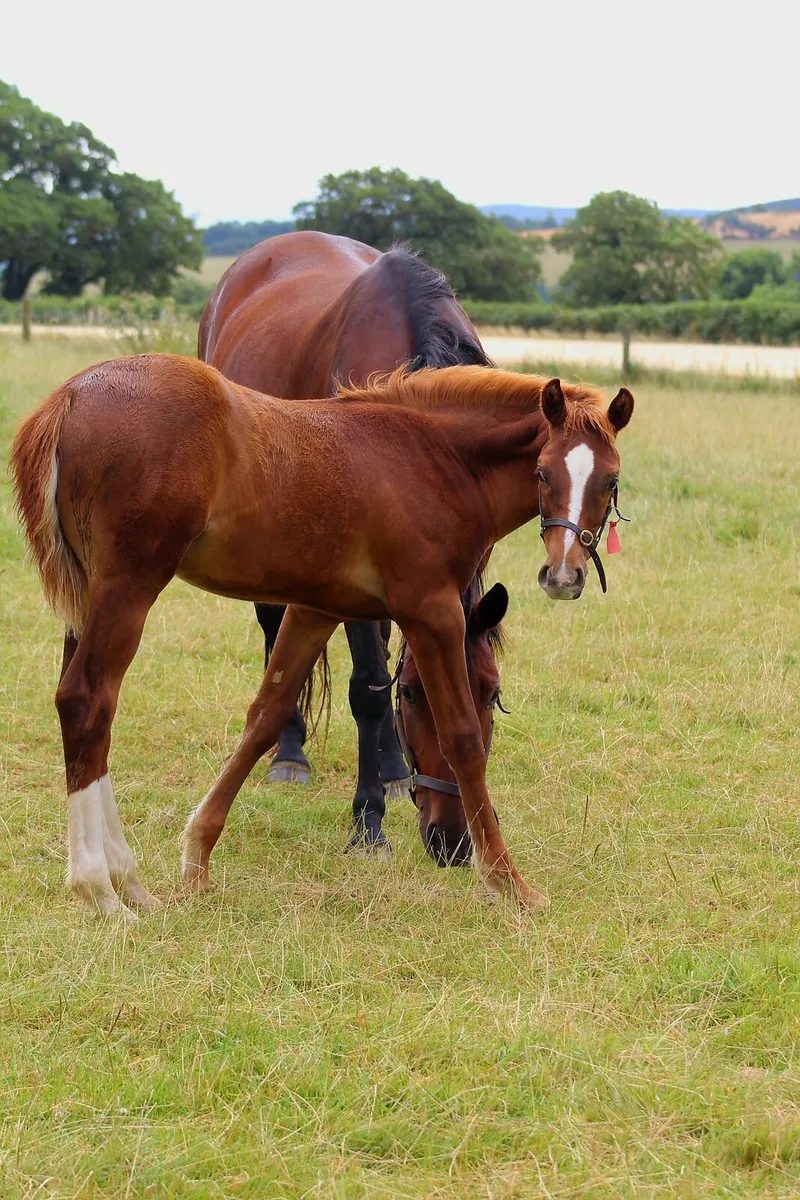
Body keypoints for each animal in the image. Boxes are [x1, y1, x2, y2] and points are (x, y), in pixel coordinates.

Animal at [10, 355, 634, 920]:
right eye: (543, 473)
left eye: (611, 481)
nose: (564, 575)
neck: (437, 461)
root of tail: (70, 395)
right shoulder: (431, 612)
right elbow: (462, 741)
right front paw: (509, 882)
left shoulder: (314, 609)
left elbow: (265, 716)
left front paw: (197, 860)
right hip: (129, 586)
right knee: (88, 701)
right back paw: (103, 889)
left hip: (87, 596)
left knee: (82, 708)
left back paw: (129, 883)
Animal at [199, 231, 493, 859]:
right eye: (415, 699)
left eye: (492, 694)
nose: (453, 840)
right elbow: (370, 690)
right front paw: (368, 821)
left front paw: (389, 777)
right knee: (276, 633)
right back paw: (289, 753)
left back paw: (391, 767)